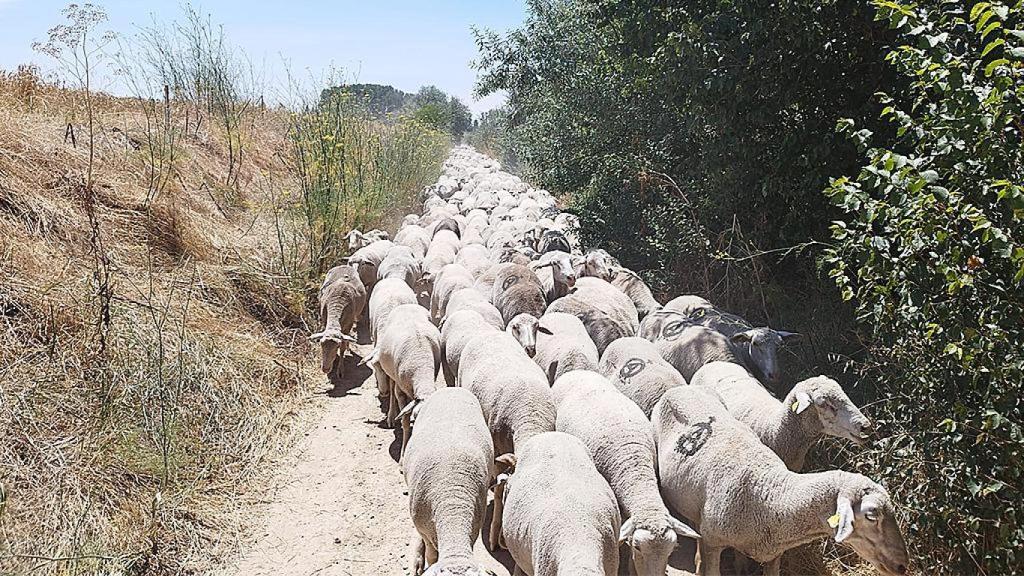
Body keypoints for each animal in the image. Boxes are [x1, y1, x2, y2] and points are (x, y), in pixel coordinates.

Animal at [366, 303, 440, 459]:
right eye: (417, 417)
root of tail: (406, 305)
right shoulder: (401, 392)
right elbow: (405, 423)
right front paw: (403, 454)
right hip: (393, 374)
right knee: (392, 389)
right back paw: (391, 416)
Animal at [651, 386, 909, 576]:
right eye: (872, 515)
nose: (902, 565)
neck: (769, 493)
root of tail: (680, 388)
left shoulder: (774, 553)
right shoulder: (713, 544)